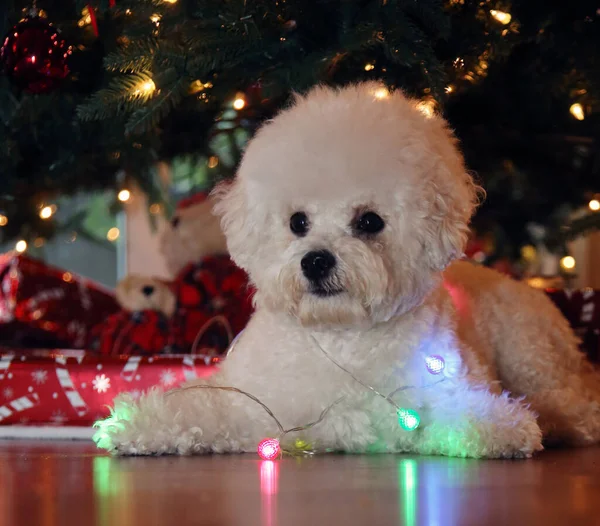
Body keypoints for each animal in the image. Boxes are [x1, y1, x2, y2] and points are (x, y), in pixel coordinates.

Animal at [97, 84, 600, 460]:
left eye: (369, 221)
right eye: (298, 222)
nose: (316, 260)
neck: (341, 338)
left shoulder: (431, 387)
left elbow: (456, 408)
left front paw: (499, 425)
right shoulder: (255, 400)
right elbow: (202, 407)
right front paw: (136, 423)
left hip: (533, 358)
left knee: (575, 402)